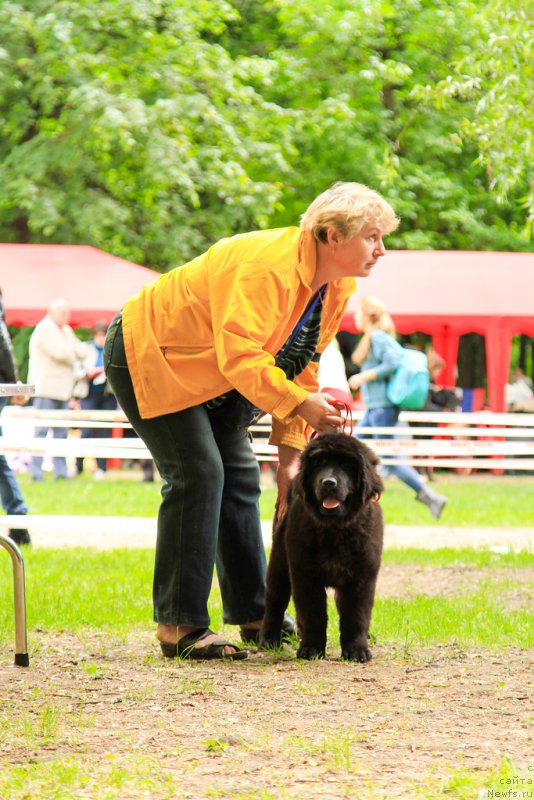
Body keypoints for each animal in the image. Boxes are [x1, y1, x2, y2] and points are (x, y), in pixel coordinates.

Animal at [260, 432, 384, 664]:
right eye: (320, 463)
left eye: (346, 464)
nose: (328, 482)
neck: (335, 530)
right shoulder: (305, 574)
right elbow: (313, 614)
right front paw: (311, 649)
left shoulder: (361, 577)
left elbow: (356, 616)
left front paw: (357, 650)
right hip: (280, 561)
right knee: (275, 600)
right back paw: (269, 639)